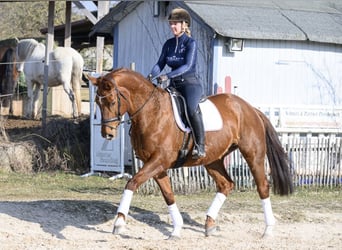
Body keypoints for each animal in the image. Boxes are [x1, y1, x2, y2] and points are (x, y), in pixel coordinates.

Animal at [89, 68, 294, 238]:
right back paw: (210, 224)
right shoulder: (156, 165)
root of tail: (250, 108)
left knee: (262, 186)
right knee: (226, 184)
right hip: (212, 160)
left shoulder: (159, 161)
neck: (151, 111)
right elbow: (168, 195)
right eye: (97, 102)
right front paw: (176, 229)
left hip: (253, 154)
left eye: (112, 101)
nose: (107, 134)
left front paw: (119, 222)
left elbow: (132, 183)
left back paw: (268, 230)